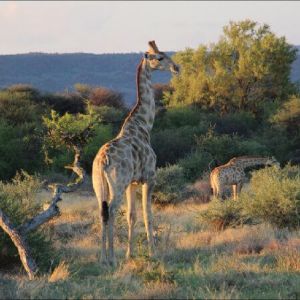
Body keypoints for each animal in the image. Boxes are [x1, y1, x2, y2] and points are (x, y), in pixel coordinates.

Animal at [92, 40, 179, 264]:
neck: (144, 125)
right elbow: (148, 215)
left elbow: (132, 216)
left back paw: (102, 258)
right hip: (118, 183)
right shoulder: (149, 177)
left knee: (102, 211)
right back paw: (111, 257)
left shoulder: (132, 182)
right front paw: (153, 253)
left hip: (99, 185)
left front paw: (130, 254)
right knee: (112, 210)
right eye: (160, 57)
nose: (177, 67)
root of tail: (102, 162)